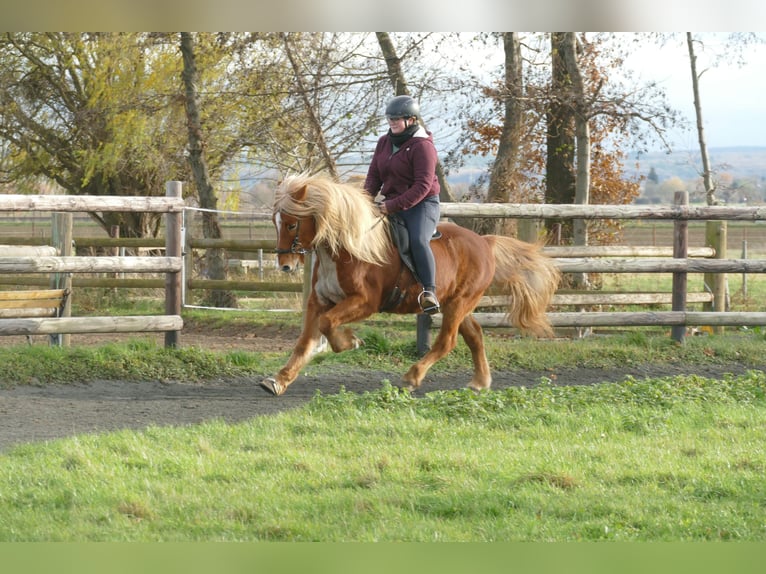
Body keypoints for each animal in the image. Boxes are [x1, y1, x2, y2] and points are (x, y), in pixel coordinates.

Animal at [259, 173, 561, 396]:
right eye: (275, 221)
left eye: (291, 224)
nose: (285, 265)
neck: (346, 248)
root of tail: (484, 242)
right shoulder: (319, 301)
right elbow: (305, 341)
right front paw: (279, 380)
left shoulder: (364, 302)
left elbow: (327, 324)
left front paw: (350, 342)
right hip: (455, 303)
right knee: (474, 335)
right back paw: (479, 382)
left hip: (461, 302)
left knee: (447, 341)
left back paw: (412, 377)